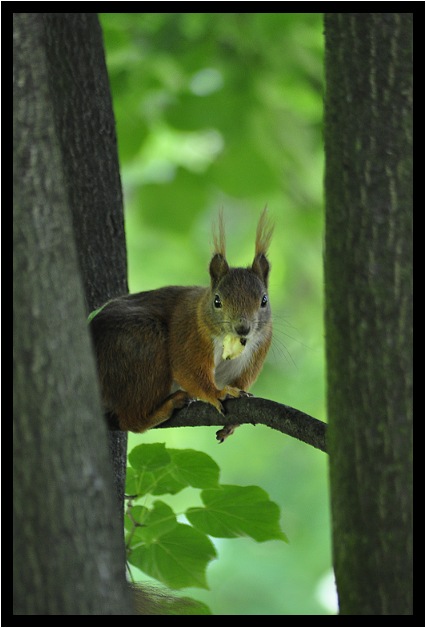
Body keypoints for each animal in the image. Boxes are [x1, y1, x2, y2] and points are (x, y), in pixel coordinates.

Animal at [91, 209, 274, 440]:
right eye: (217, 301)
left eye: (264, 300)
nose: (243, 328)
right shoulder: (189, 334)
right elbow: (189, 370)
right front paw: (218, 393)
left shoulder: (257, 351)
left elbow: (241, 383)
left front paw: (233, 423)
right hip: (142, 348)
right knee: (131, 419)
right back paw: (165, 407)